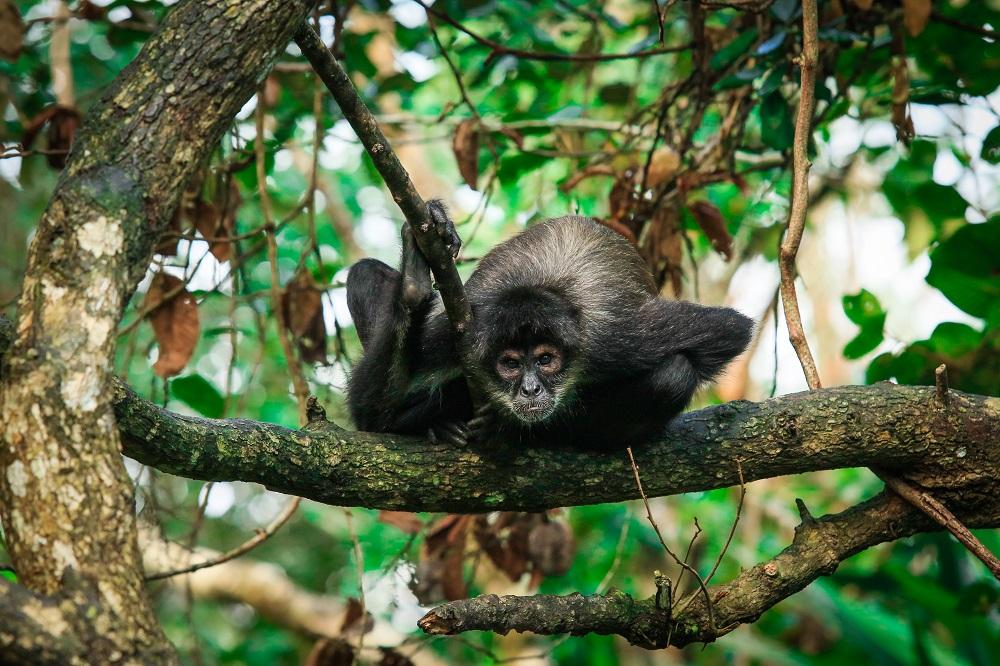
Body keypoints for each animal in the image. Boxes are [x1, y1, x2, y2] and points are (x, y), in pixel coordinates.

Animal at [344, 201, 752, 446]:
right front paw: (414, 280)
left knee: (675, 374)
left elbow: (730, 330)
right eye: (510, 364)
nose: (530, 390)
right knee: (364, 274)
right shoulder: (453, 334)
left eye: (545, 360)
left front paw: (509, 426)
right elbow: (370, 412)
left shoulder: (614, 337)